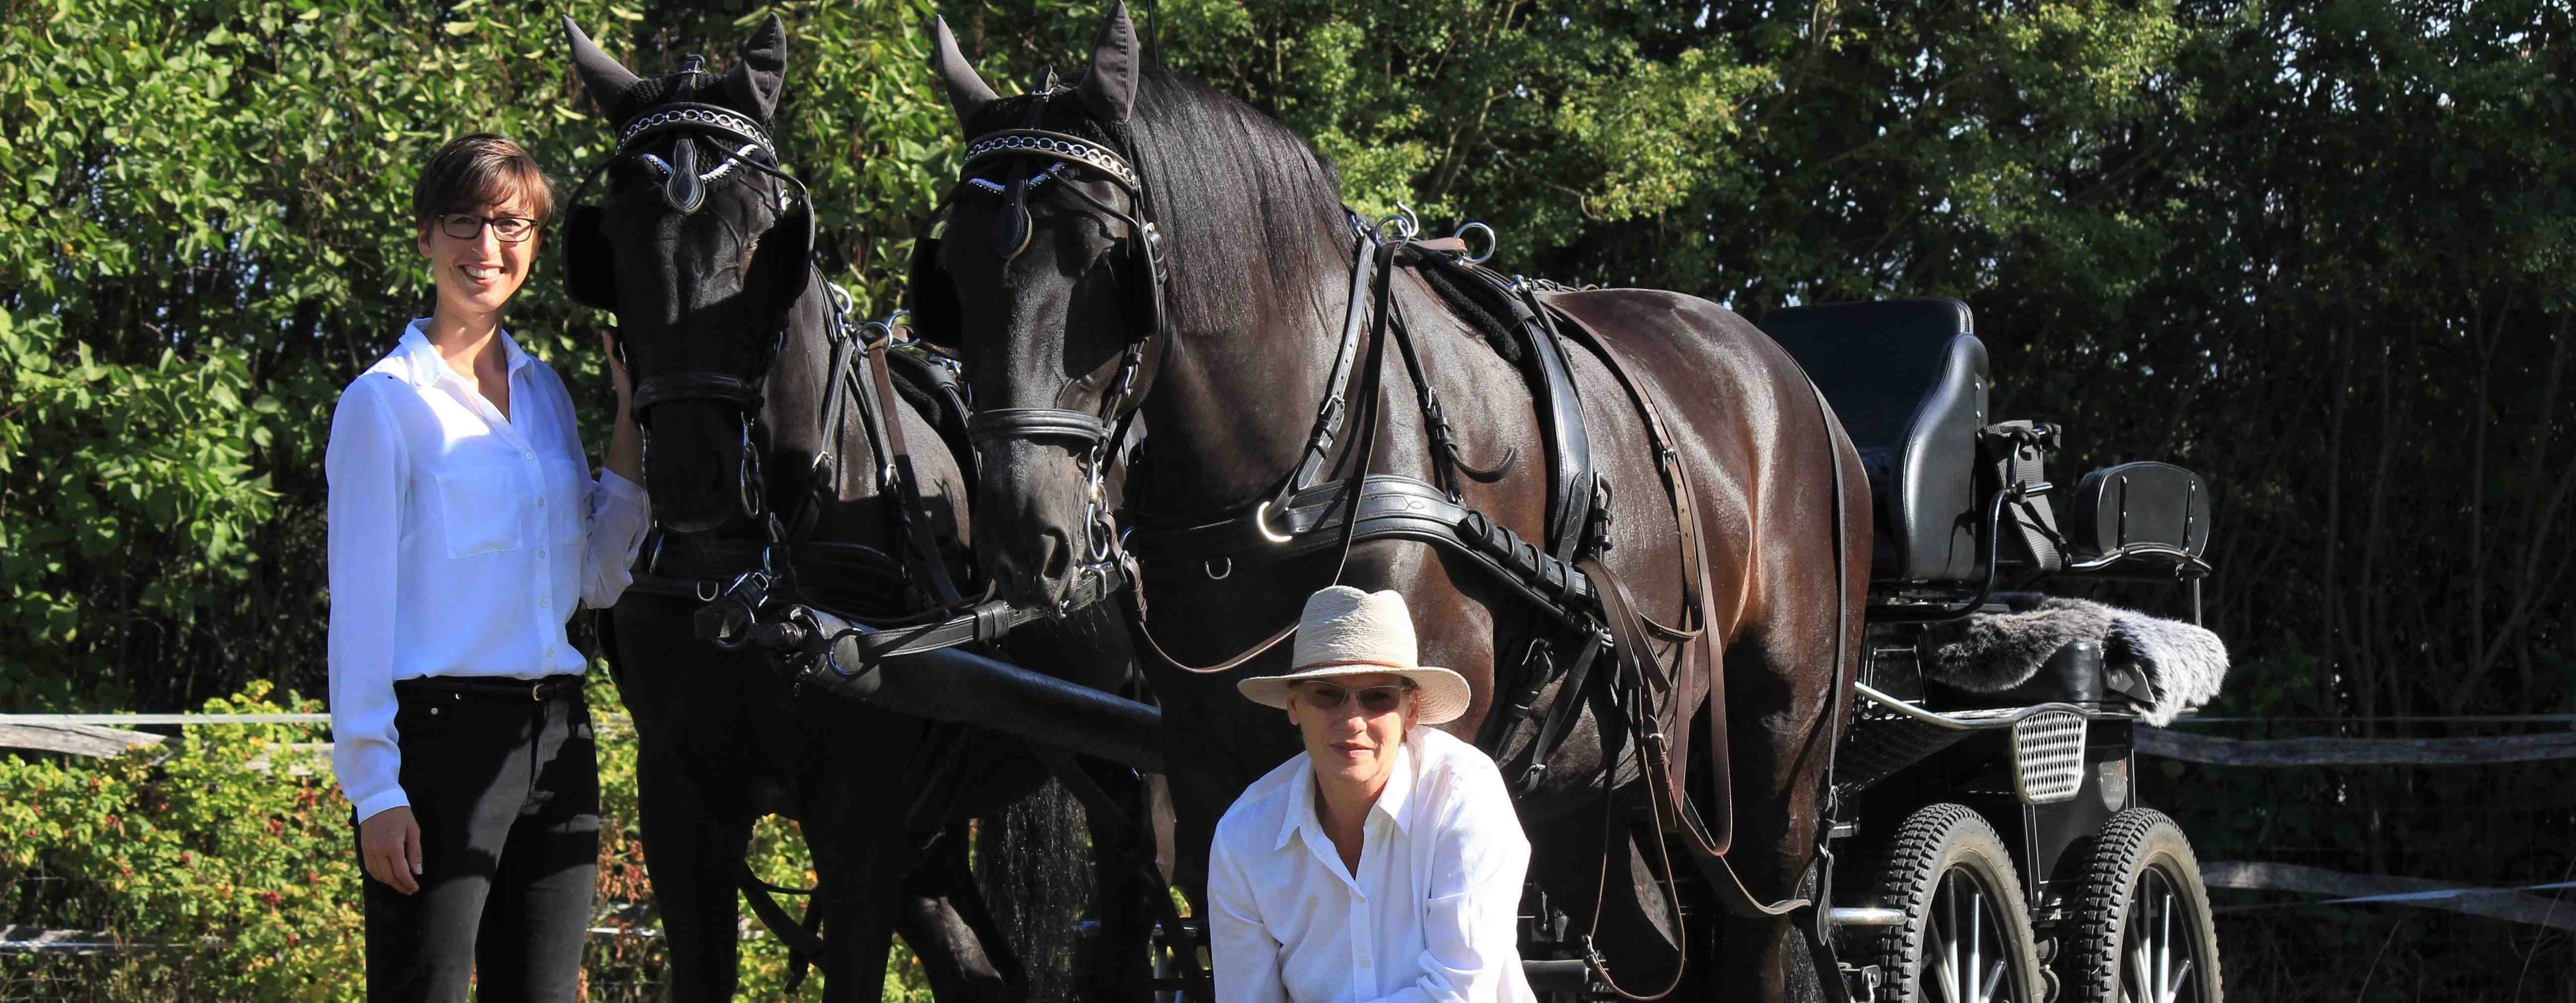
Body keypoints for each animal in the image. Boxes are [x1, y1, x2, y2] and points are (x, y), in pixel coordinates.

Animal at [564, 17, 1149, 1000]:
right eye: (608, 241)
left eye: (766, 240)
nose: (693, 482)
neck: (752, 573)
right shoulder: (681, 803)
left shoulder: (858, 821)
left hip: (1117, 770)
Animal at [917, 5, 1865, 990]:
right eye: (950, 272)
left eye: (1107, 265)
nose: (1023, 534)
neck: (1288, 487)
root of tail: (1796, 388)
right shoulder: (1210, 780)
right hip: (1595, 794)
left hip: (1775, 772)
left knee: (1758, 926)